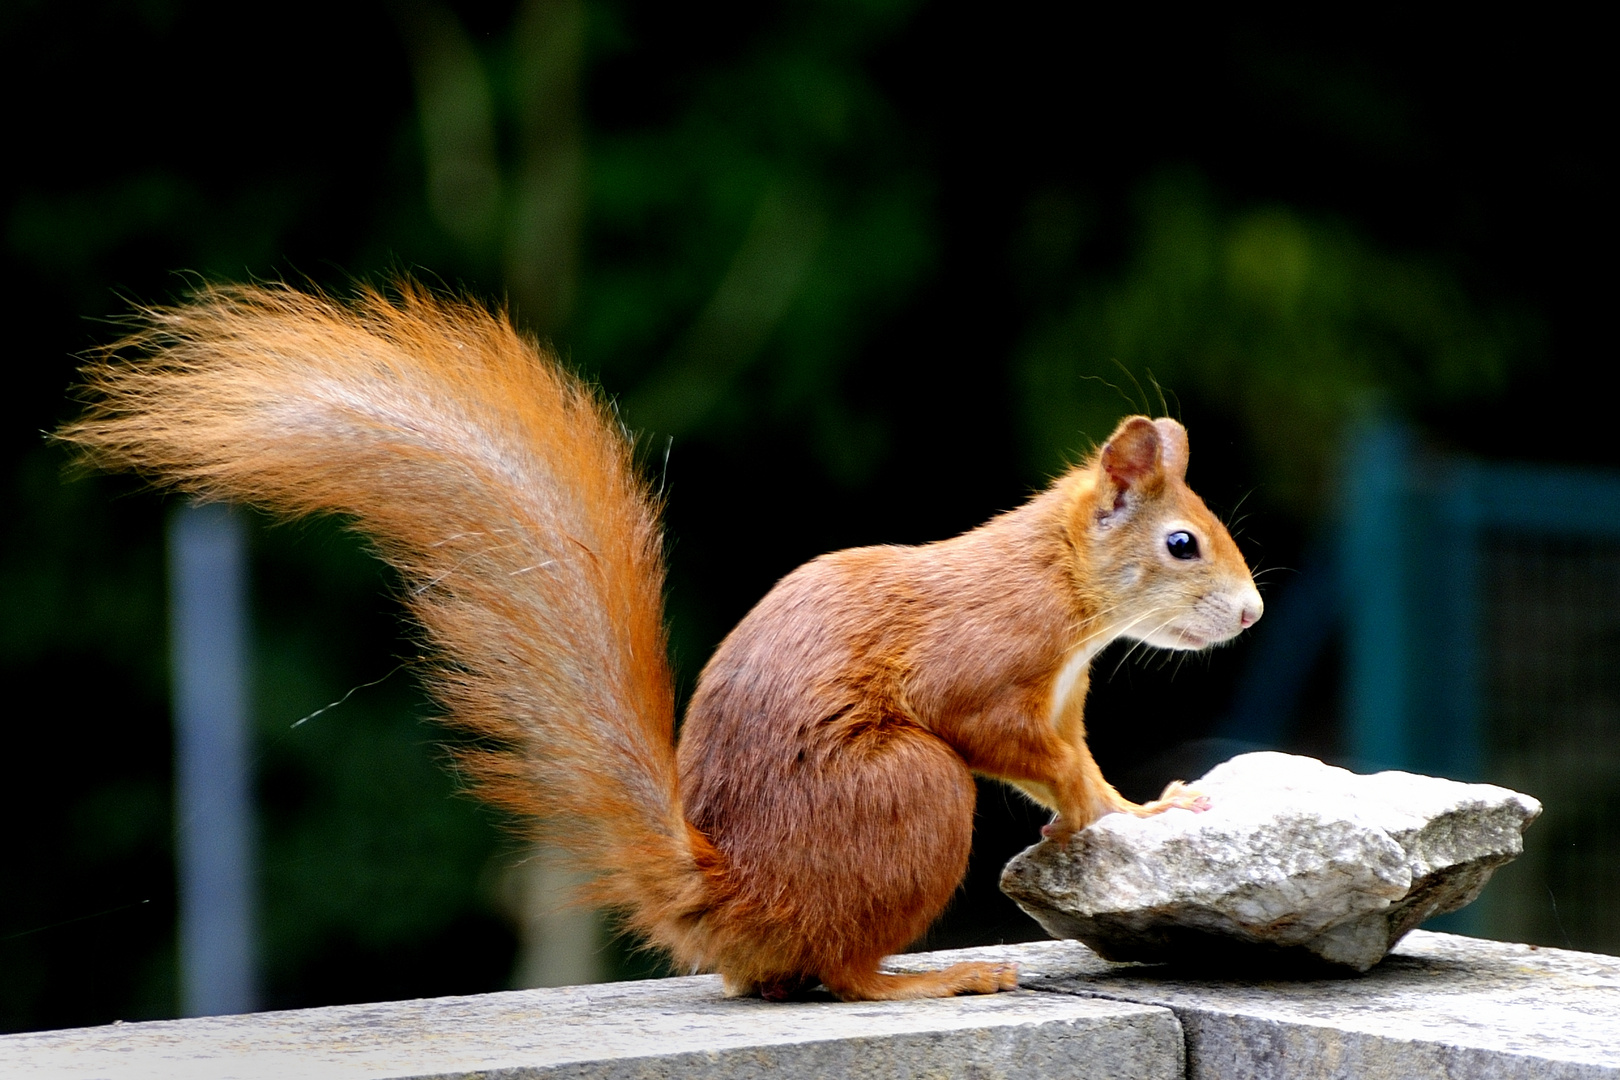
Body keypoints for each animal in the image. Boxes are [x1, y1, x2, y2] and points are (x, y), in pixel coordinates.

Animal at [59, 281, 1263, 1003]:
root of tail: (734, 904)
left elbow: (1070, 770)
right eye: (1183, 543)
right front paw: (1137, 810)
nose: (1252, 615)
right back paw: (929, 979)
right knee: (842, 971)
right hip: (911, 792)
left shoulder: (1061, 697)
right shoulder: (983, 670)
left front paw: (1126, 804)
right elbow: (1021, 749)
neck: (1063, 592)